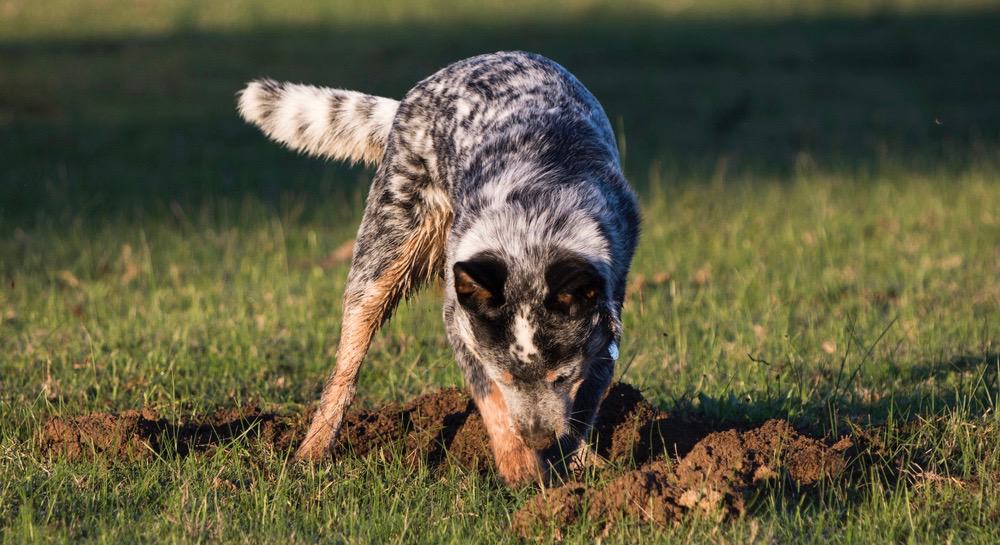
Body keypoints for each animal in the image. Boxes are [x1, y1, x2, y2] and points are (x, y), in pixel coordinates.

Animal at [238, 51, 636, 484]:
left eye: (561, 377)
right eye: (503, 375)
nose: (537, 439)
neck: (534, 222)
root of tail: (413, 96)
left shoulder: (606, 324)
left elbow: (584, 404)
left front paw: (573, 465)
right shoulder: (461, 324)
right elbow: (492, 401)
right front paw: (520, 469)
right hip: (383, 257)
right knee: (345, 368)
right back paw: (312, 452)